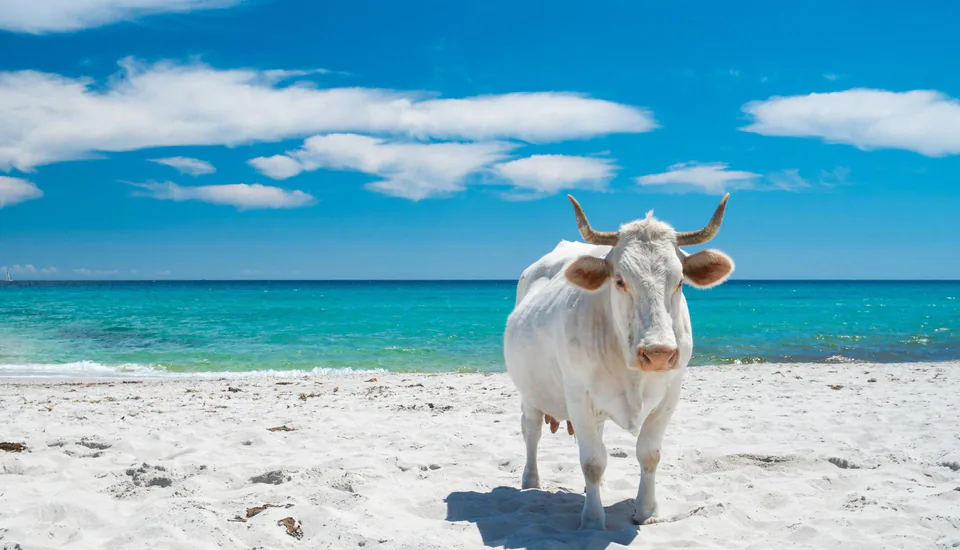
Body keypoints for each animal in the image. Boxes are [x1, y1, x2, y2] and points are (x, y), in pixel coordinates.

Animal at [503, 194, 734, 529]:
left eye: (679, 281)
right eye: (620, 280)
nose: (659, 352)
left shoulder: (670, 395)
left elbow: (648, 454)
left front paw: (647, 510)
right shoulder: (578, 395)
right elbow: (592, 461)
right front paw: (592, 519)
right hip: (529, 391)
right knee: (531, 430)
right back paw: (531, 481)